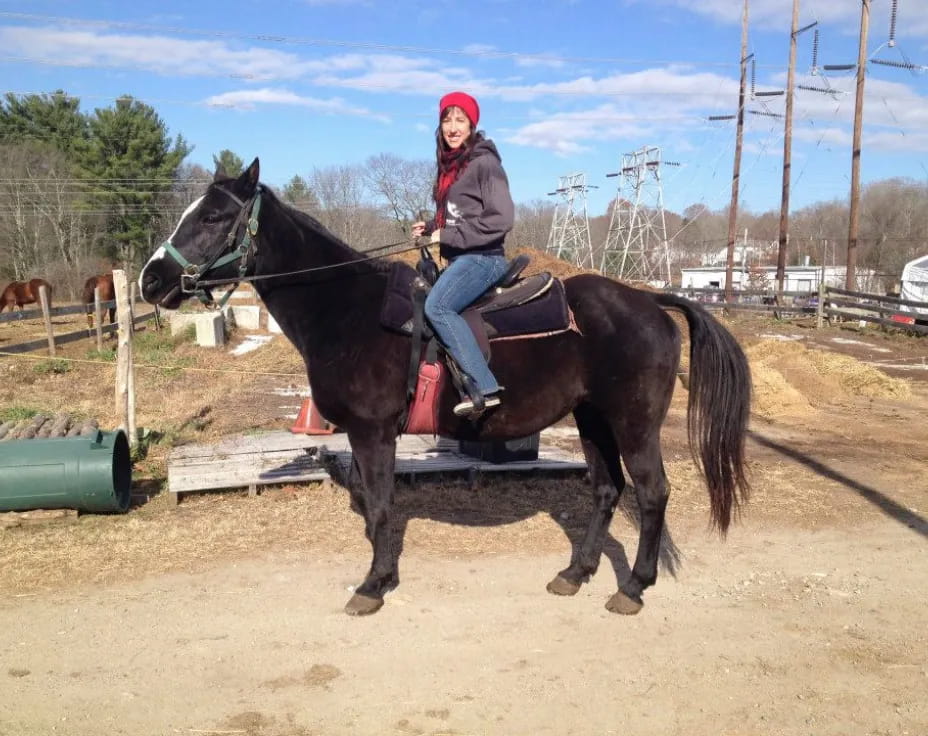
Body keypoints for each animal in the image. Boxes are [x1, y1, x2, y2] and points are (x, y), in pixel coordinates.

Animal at [139, 159, 751, 617]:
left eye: (214, 216)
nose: (151, 279)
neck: (348, 309)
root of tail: (650, 300)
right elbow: (372, 502)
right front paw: (381, 573)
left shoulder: (373, 433)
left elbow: (380, 505)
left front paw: (373, 585)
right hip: (591, 419)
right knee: (606, 491)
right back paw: (575, 573)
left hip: (633, 423)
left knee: (652, 494)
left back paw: (633, 587)